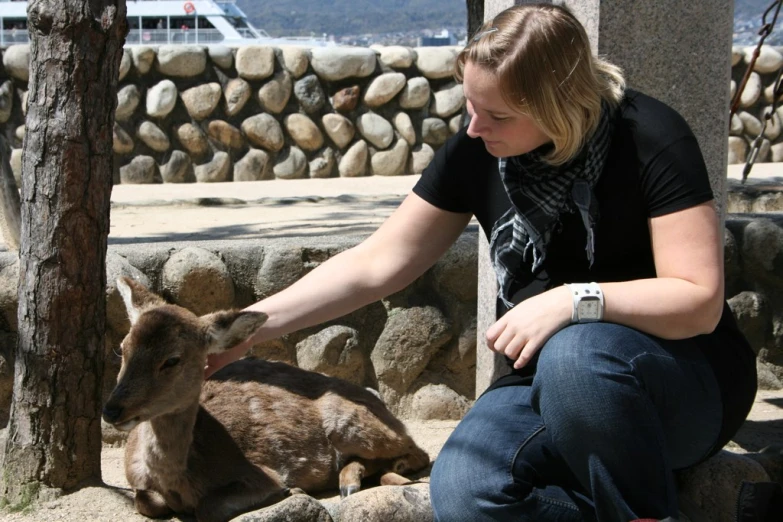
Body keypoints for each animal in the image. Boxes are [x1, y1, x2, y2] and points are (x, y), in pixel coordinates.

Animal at [102, 276, 432, 520]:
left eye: (172, 360)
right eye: (123, 347)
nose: (112, 410)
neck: (178, 480)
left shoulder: (262, 473)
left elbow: (209, 507)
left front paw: (291, 492)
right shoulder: (138, 483)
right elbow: (144, 500)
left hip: (355, 424)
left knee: (419, 451)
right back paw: (350, 481)